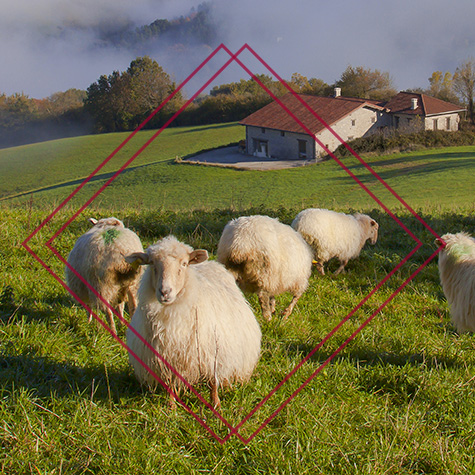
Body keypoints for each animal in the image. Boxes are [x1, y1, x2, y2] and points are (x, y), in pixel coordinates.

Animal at [124, 236, 262, 410]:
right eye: (152, 264)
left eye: (184, 264)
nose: (165, 292)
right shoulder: (167, 355)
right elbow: (170, 382)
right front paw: (171, 406)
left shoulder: (212, 352)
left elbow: (213, 382)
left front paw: (215, 405)